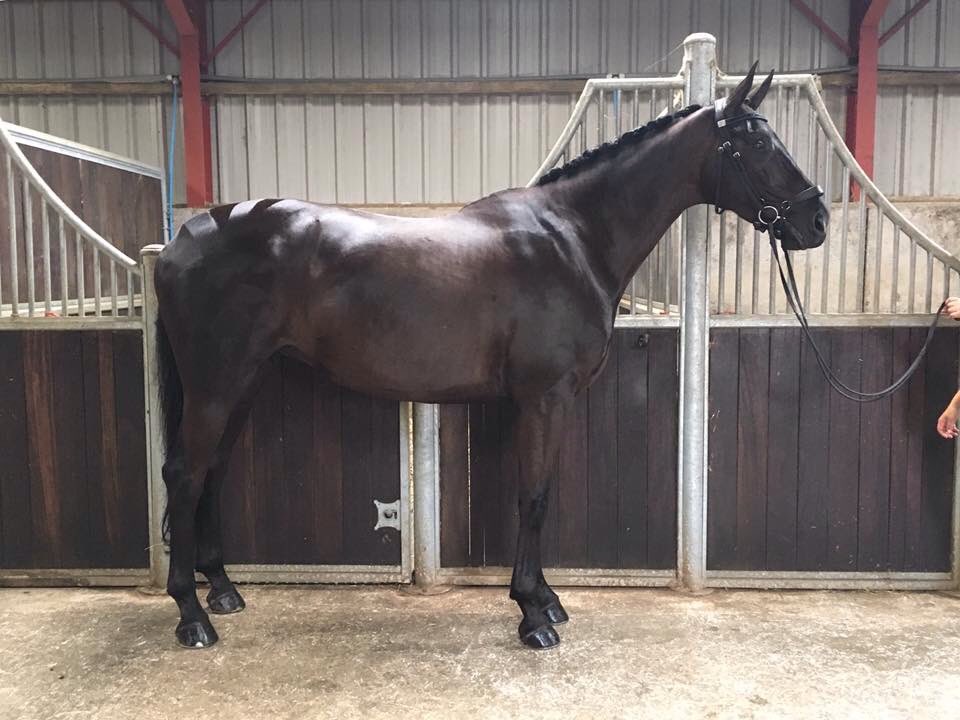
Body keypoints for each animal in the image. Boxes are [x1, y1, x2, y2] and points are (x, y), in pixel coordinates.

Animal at [154, 62, 828, 651]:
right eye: (758, 144)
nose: (817, 220)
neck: (573, 239)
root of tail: (182, 242)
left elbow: (534, 493)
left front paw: (547, 599)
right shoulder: (544, 398)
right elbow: (534, 497)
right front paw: (533, 614)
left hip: (242, 383)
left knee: (212, 471)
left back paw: (223, 591)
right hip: (217, 385)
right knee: (185, 474)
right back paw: (191, 615)